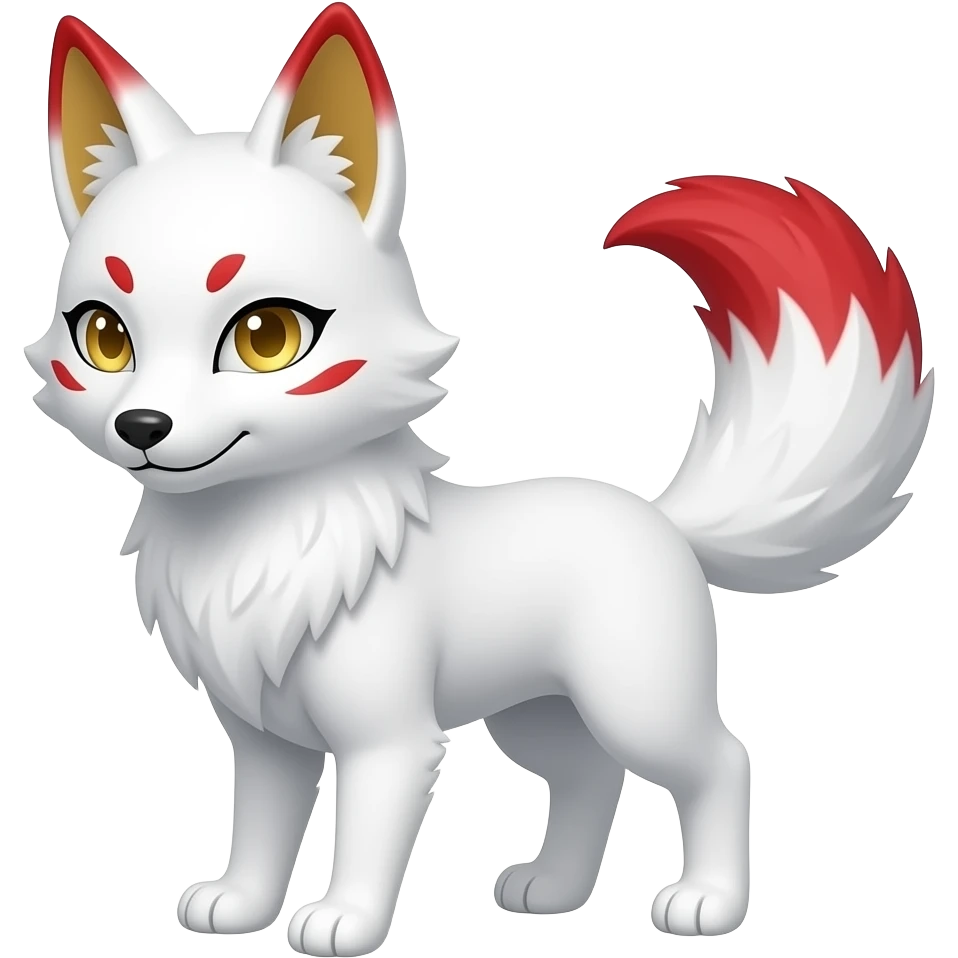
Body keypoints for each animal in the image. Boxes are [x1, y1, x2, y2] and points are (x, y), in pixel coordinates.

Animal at [28, 5, 934, 955]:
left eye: (266, 338)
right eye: (104, 338)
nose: (142, 428)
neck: (252, 541)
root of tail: (662, 521)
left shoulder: (389, 741)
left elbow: (363, 834)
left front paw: (344, 920)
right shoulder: (268, 742)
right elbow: (263, 830)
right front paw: (239, 907)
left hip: (633, 699)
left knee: (720, 758)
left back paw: (708, 903)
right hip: (536, 716)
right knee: (590, 779)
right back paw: (556, 891)